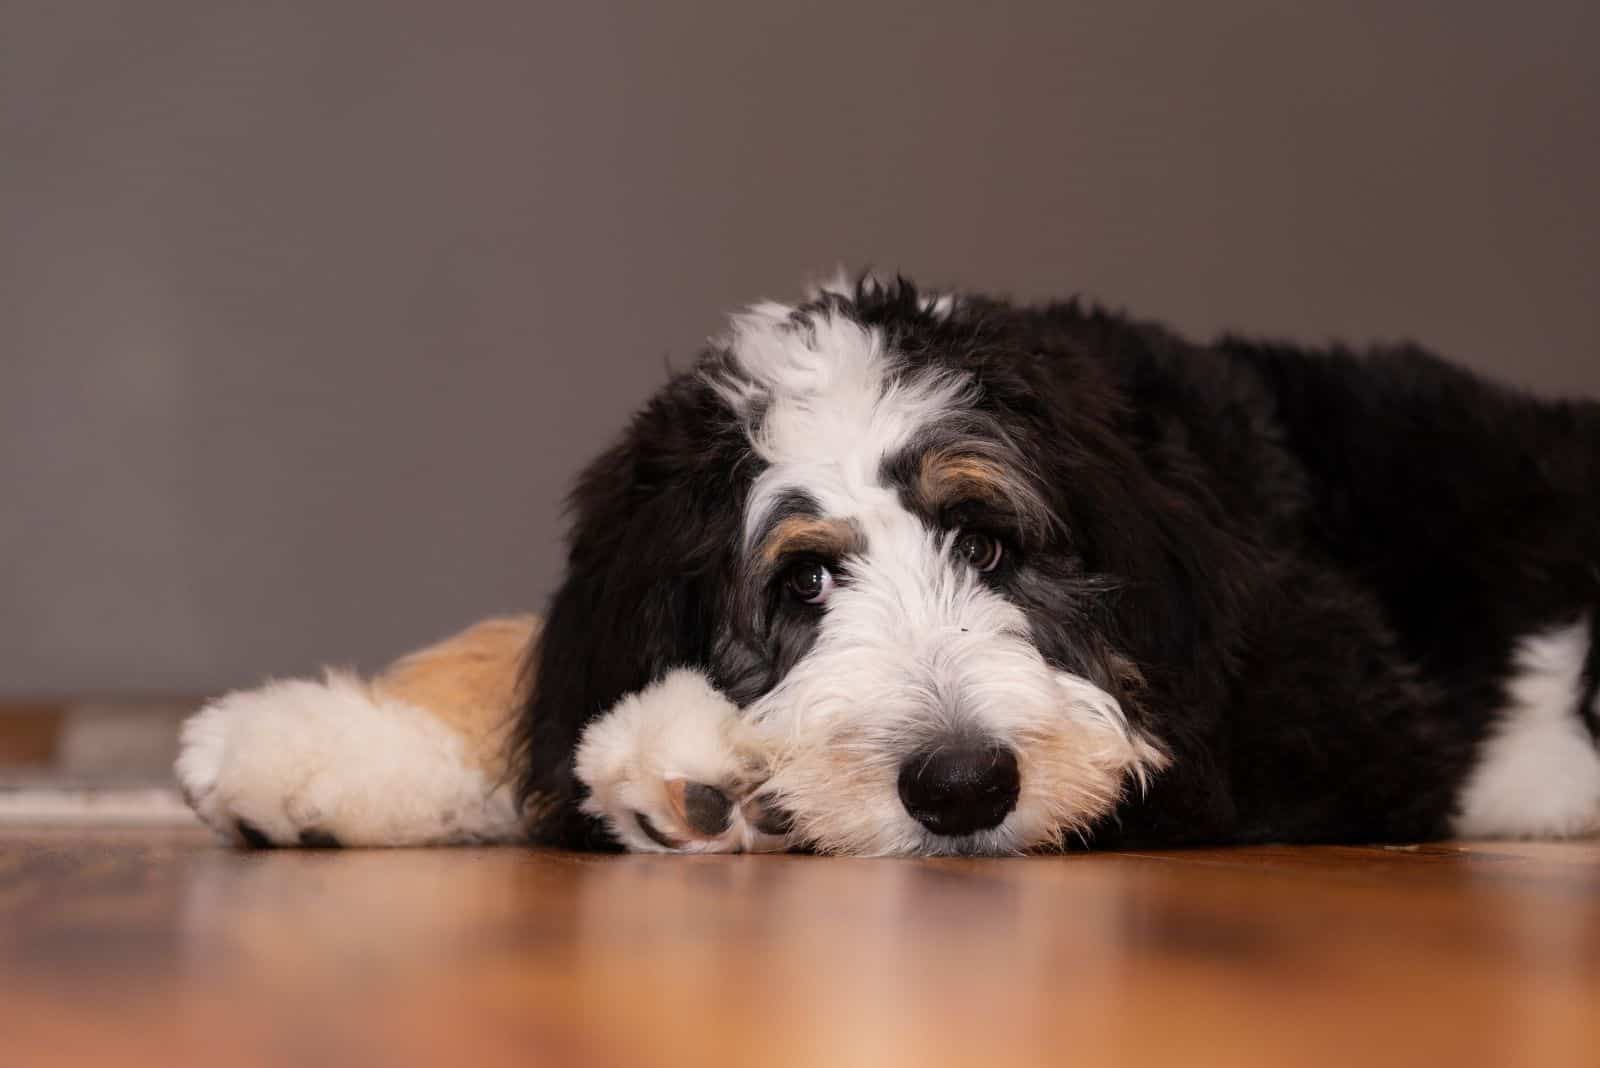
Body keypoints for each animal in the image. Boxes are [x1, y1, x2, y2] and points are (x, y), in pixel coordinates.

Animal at [175, 271, 1600, 856]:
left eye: (988, 542)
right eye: (804, 583)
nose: (962, 786)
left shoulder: (1330, 709)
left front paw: (702, 761)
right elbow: (528, 652)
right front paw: (326, 747)